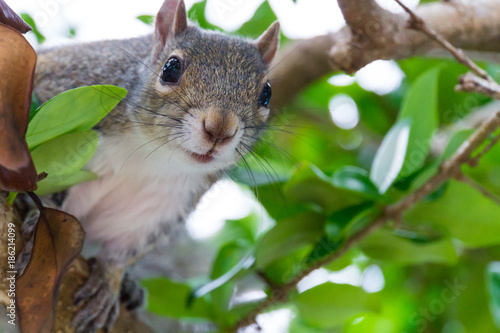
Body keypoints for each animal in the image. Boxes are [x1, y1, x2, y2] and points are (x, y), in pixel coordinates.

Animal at [31, 0, 282, 330]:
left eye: (266, 94)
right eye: (170, 68)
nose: (219, 129)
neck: (151, 153)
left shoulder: (159, 205)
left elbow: (122, 249)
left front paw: (110, 282)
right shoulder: (64, 87)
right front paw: (40, 212)